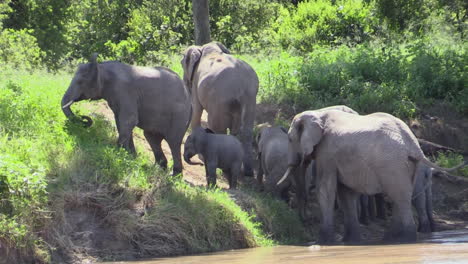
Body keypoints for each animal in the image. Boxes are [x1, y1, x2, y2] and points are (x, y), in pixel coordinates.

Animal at [61, 53, 191, 175]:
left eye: (80, 82)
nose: (84, 117)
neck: (101, 67)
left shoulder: (124, 91)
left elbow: (128, 120)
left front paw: (117, 155)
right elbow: (120, 121)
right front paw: (131, 157)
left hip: (180, 116)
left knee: (173, 142)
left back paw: (174, 175)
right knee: (151, 137)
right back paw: (157, 169)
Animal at [180, 41, 260, 177]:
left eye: (181, 64)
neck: (205, 49)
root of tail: (240, 84)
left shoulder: (196, 82)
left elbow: (196, 110)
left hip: (219, 99)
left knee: (218, 128)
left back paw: (223, 170)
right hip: (250, 98)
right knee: (245, 130)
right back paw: (247, 172)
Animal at [280, 109, 466, 243]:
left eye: (289, 139)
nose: (305, 220)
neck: (318, 113)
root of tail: (413, 144)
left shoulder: (328, 153)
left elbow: (326, 189)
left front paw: (323, 243)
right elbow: (345, 193)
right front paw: (350, 241)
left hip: (392, 165)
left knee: (399, 196)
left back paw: (404, 240)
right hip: (407, 166)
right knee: (401, 196)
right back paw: (391, 239)